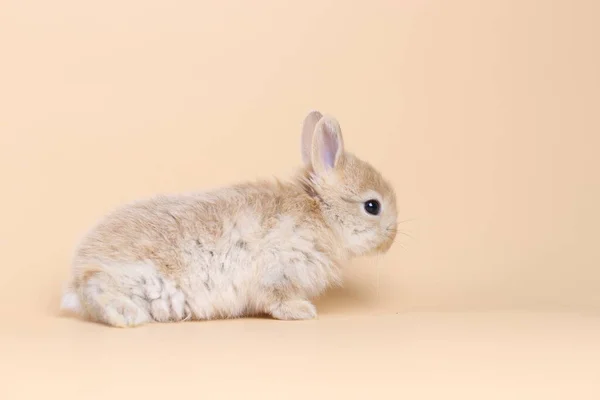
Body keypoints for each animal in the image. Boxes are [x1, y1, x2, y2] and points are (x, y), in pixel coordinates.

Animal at [59, 111, 398, 326]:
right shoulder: (278, 271)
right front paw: (302, 311)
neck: (320, 213)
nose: (392, 238)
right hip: (135, 279)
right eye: (372, 206)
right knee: (96, 289)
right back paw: (127, 316)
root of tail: (78, 272)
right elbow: (277, 299)